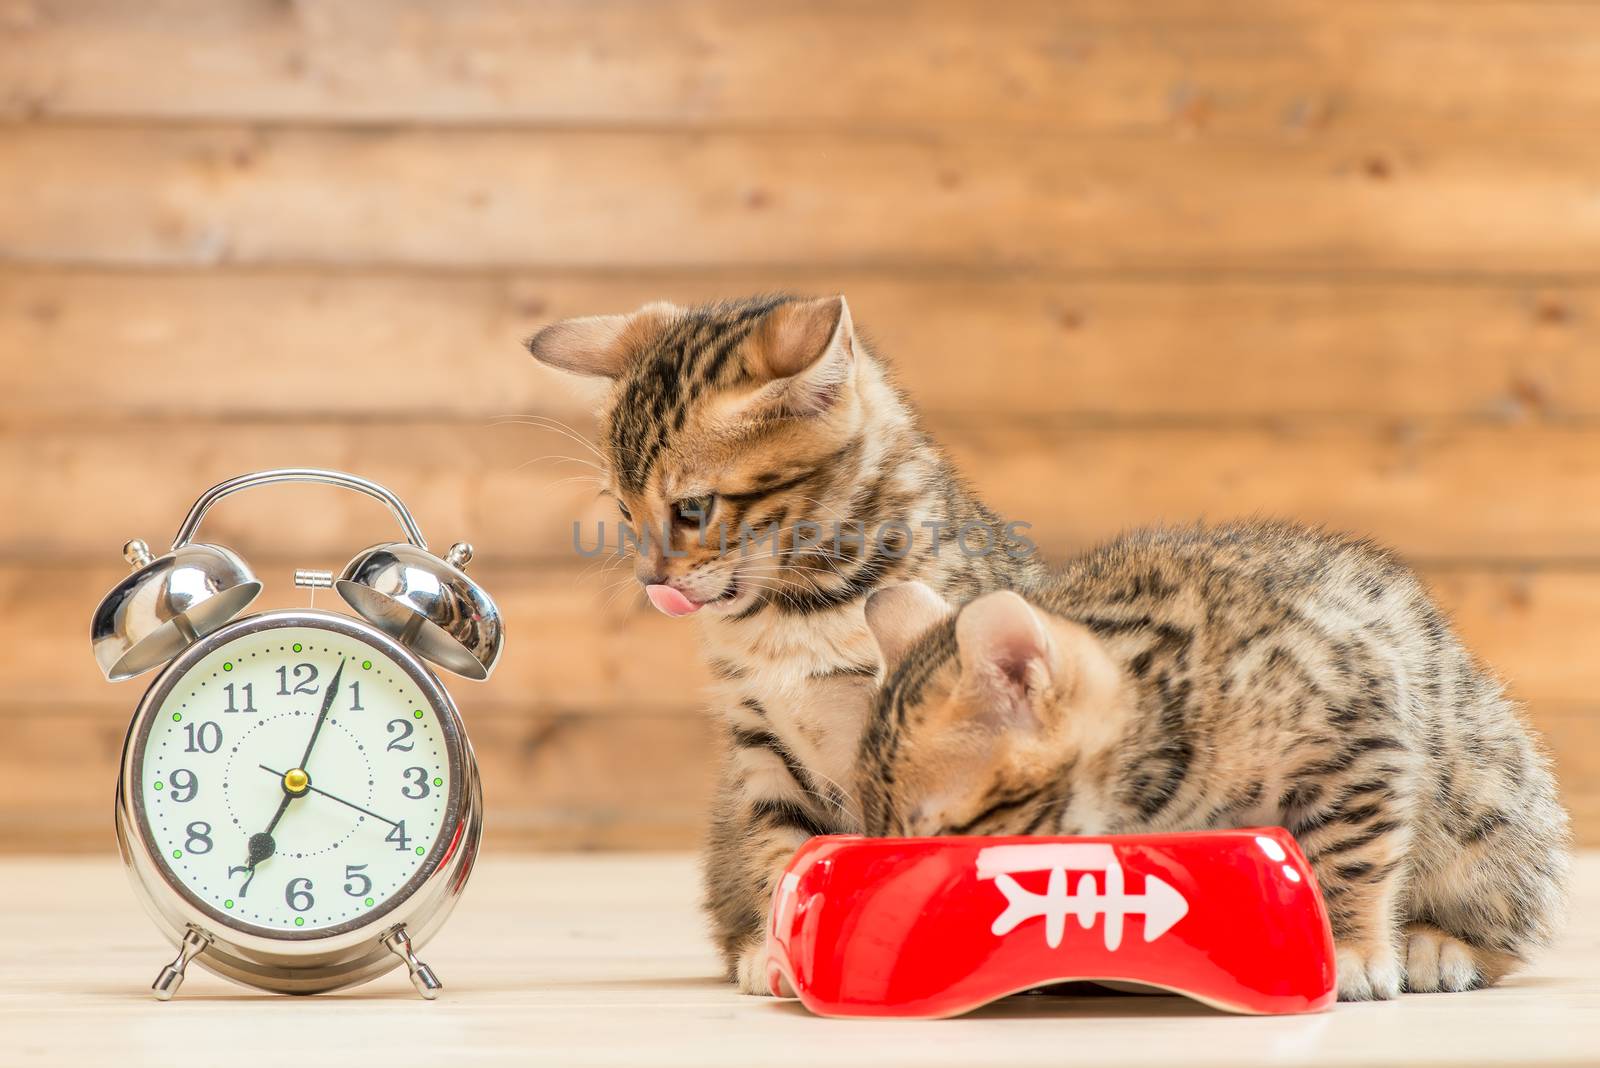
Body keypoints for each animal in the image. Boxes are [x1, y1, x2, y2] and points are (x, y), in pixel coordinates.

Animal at [531, 292, 1043, 991]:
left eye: (693, 510)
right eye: (624, 513)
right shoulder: (761, 741)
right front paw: (776, 953)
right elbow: (783, 848)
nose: (649, 582)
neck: (793, 611)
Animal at [857, 524, 1568, 1004]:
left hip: (1484, 809)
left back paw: (1440, 944)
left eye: (944, 833)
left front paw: (1350, 949)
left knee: (1510, 917)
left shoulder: (1357, 720)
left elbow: (1347, 853)